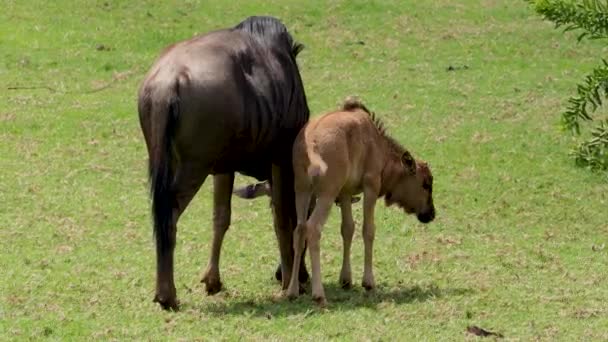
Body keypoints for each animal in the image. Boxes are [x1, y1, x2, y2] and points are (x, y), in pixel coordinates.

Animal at [288, 97, 434, 306]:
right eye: (426, 183)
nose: (431, 214)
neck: (377, 142)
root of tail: (310, 143)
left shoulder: (345, 193)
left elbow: (348, 228)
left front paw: (346, 279)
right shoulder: (370, 186)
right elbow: (368, 230)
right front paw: (368, 282)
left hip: (302, 191)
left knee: (299, 230)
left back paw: (292, 290)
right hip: (326, 194)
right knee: (313, 228)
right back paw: (318, 293)